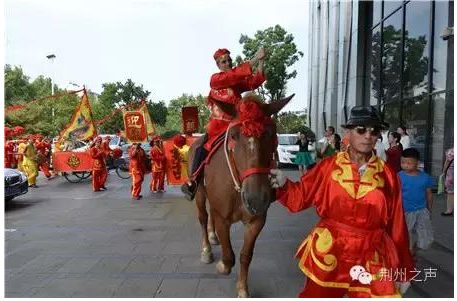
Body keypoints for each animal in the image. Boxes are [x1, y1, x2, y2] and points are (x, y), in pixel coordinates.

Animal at [187, 93, 294, 296]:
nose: (256, 198)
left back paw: (212, 237)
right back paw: (206, 249)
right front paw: (222, 265)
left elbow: (245, 255)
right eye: (234, 136)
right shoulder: (223, 218)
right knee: (203, 216)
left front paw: (243, 288)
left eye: (272, 134)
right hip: (199, 192)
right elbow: (229, 256)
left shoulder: (257, 220)